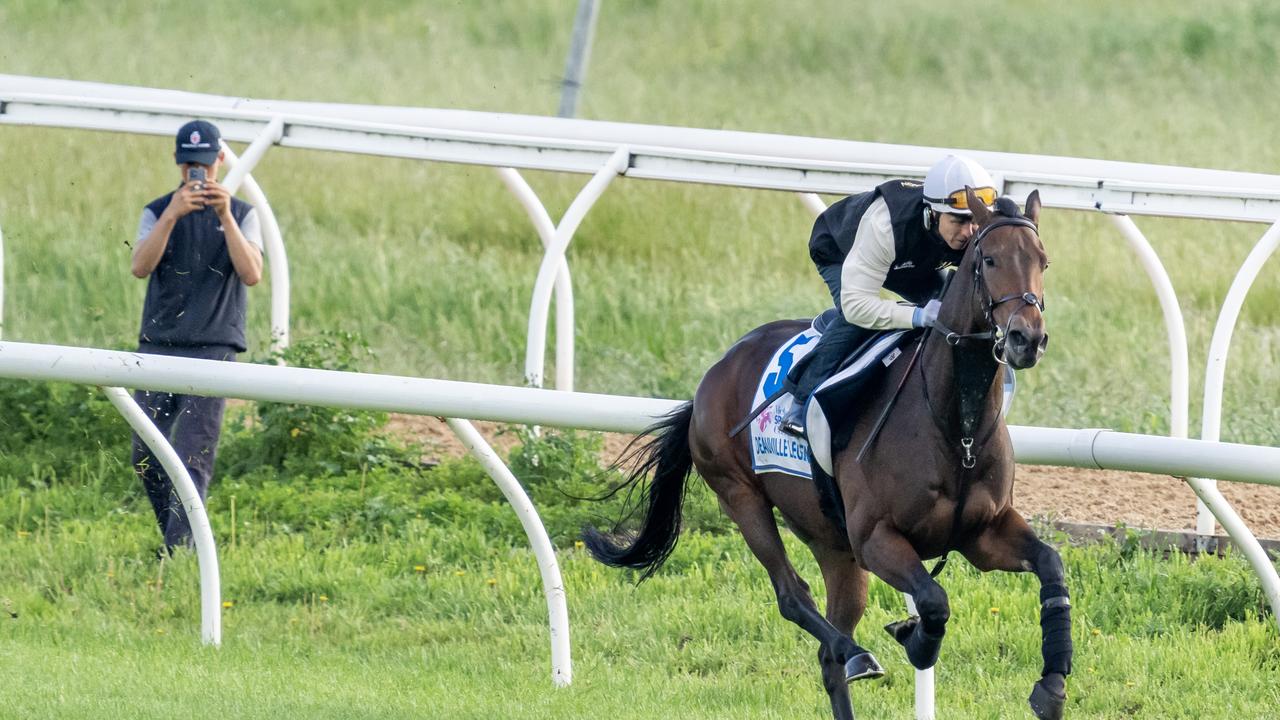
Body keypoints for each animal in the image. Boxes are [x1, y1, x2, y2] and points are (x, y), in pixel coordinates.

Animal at [586, 189, 1064, 717]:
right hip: (741, 496)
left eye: (1042, 261)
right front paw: (916, 638)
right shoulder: (876, 537)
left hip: (832, 543)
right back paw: (855, 651)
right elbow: (934, 601)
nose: (1027, 338)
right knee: (793, 597)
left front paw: (1052, 683)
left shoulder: (982, 532)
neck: (954, 428)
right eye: (989, 259)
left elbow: (1050, 565)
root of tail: (714, 373)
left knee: (829, 651)